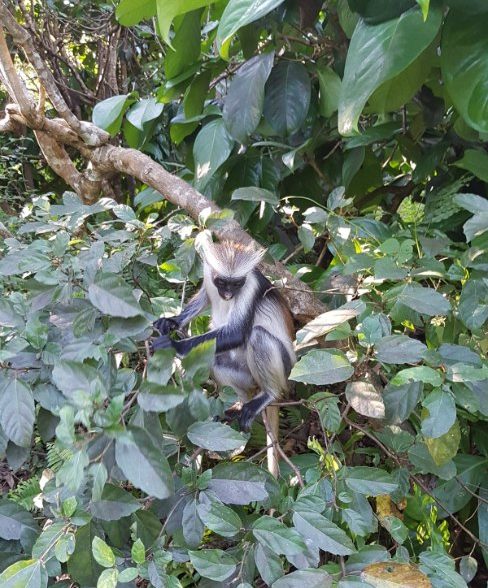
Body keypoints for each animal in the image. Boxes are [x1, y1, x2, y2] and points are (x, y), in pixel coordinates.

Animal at [152, 237, 296, 476]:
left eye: (236, 284)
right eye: (221, 282)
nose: (228, 295)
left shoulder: (250, 286)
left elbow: (237, 333)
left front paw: (174, 345)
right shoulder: (210, 278)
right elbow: (203, 299)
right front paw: (171, 322)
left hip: (284, 366)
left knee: (257, 335)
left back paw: (269, 395)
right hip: (245, 377)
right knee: (217, 361)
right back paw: (238, 406)